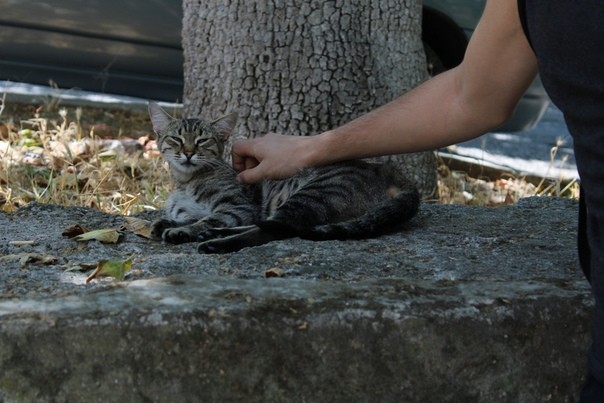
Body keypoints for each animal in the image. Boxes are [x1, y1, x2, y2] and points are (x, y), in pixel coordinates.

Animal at [150, 101, 420, 254]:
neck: (186, 182)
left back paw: (216, 243)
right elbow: (195, 217)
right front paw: (169, 223)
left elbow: (207, 219)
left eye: (202, 140)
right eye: (176, 138)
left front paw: (182, 231)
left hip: (315, 193)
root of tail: (401, 177)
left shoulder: (239, 207)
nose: (188, 152)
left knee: (277, 229)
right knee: (273, 224)